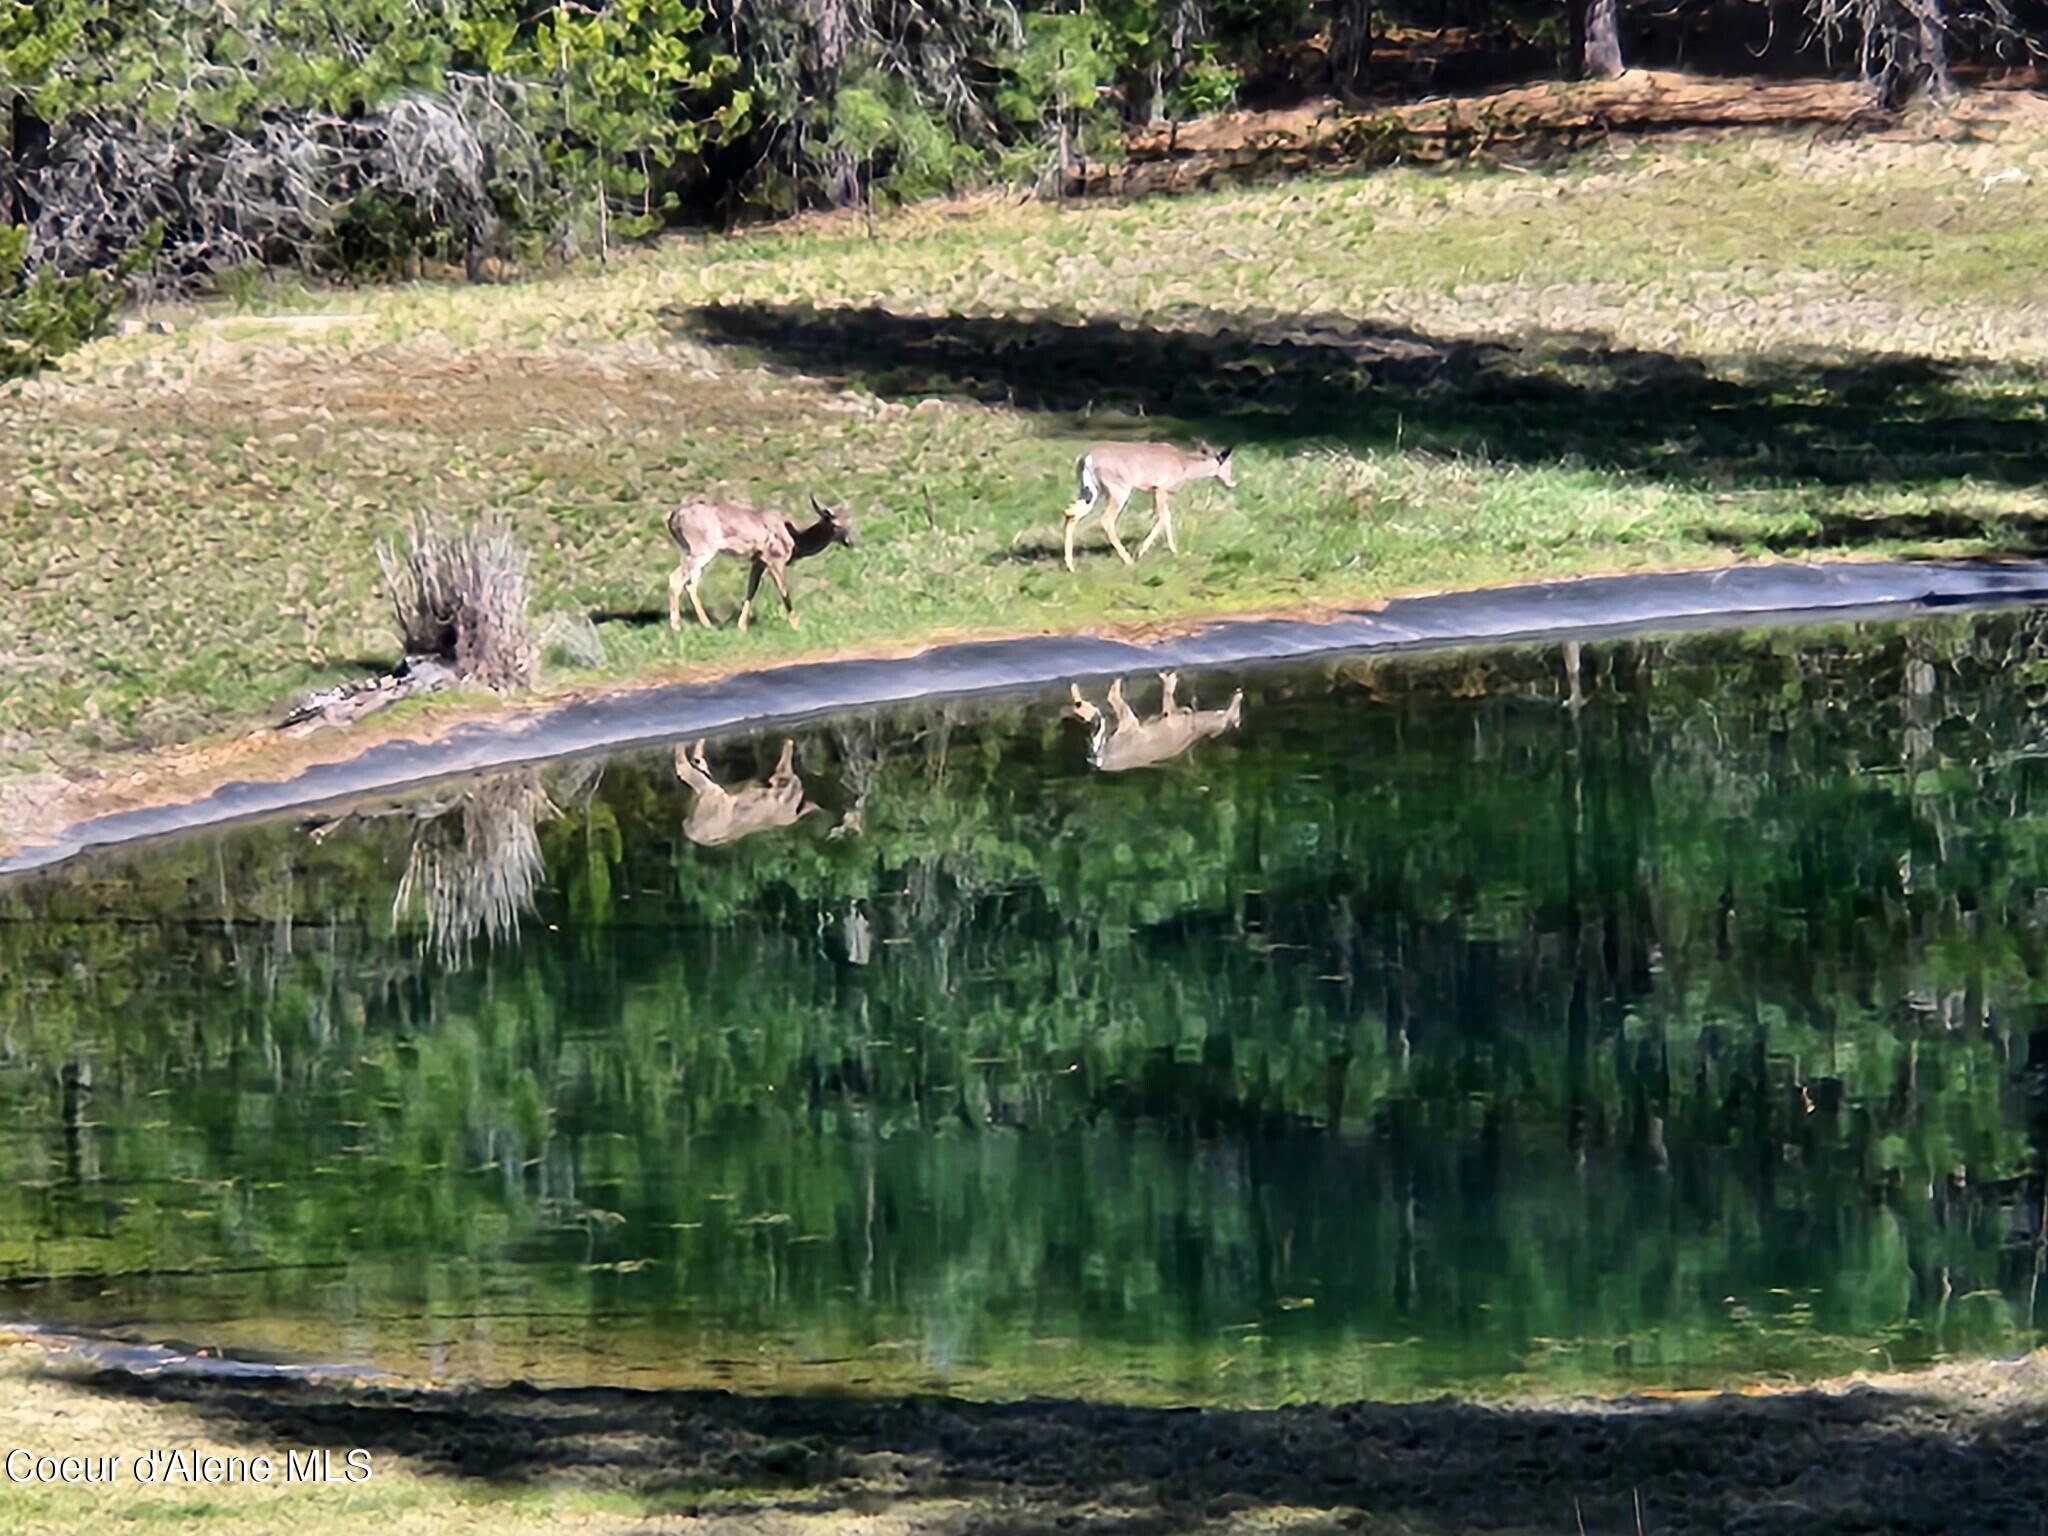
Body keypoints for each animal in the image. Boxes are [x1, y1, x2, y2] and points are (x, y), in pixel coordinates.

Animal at [667, 495, 858, 632]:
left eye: (850, 522)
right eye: (834, 525)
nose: (851, 542)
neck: (796, 540)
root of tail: (673, 518)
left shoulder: (758, 561)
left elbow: (751, 590)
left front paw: (742, 626)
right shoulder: (774, 558)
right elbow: (784, 592)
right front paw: (797, 626)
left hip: (690, 549)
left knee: (688, 581)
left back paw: (703, 623)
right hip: (701, 548)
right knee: (677, 578)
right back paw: (681, 626)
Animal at [1061, 442, 1236, 573]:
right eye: (1228, 465)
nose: (1232, 482)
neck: (1185, 466)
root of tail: (1086, 458)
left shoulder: (1156, 490)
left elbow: (1167, 516)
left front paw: (1174, 551)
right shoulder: (1160, 488)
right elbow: (1163, 516)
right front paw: (1142, 552)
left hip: (1090, 489)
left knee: (1071, 513)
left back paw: (1071, 566)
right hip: (1119, 489)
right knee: (1106, 520)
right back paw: (1129, 560)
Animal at [1069, 672, 1244, 773]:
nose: (1239, 692)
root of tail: (1102, 761)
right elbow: (1170, 700)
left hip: (1127, 727)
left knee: (1101, 705)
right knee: (1102, 704)